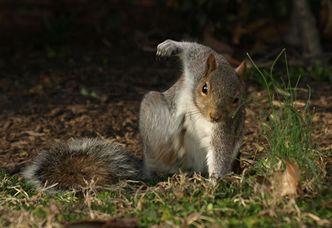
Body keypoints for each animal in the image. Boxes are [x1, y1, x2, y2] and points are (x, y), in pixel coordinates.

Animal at [22, 39, 246, 191]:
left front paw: (215, 182)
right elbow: (193, 48)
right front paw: (170, 46)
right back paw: (168, 152)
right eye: (204, 88)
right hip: (152, 110)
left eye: (237, 99)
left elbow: (220, 151)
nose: (215, 116)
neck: (199, 111)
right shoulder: (197, 65)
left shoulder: (225, 128)